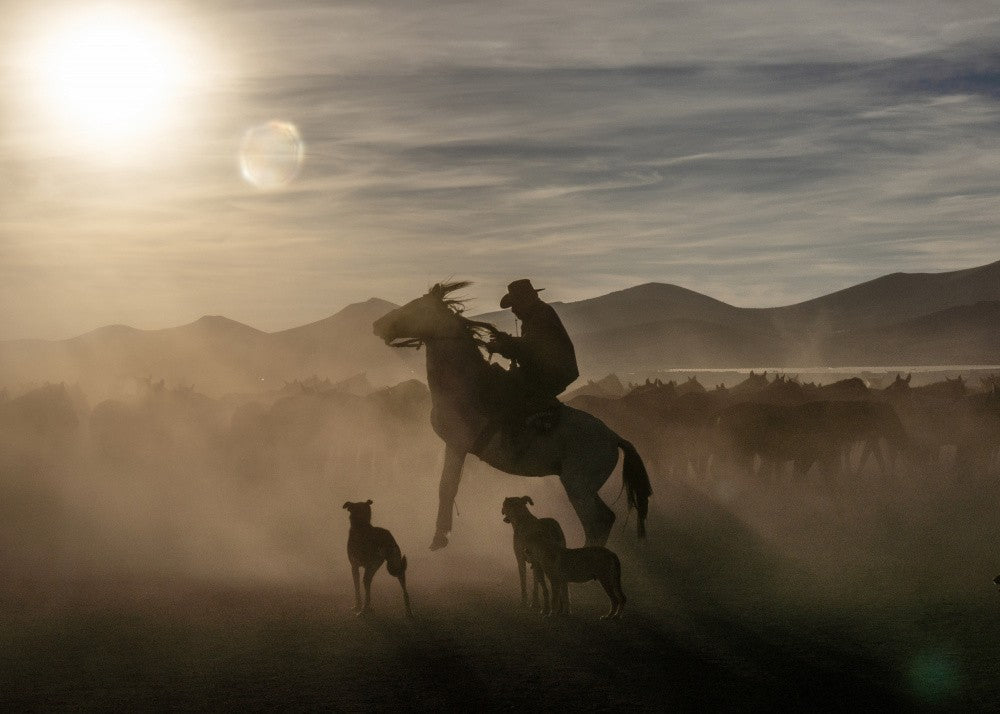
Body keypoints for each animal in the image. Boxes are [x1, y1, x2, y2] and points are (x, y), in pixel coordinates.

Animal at [372, 281, 652, 551]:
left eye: (414, 307)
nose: (377, 325)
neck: (466, 385)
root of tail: (614, 437)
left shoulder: (456, 444)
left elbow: (446, 488)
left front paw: (440, 537)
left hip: (578, 486)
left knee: (598, 522)